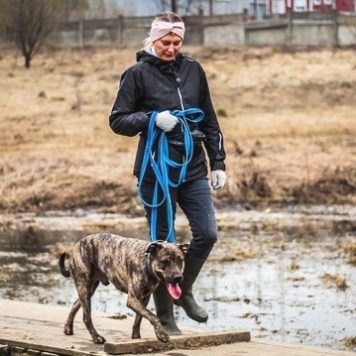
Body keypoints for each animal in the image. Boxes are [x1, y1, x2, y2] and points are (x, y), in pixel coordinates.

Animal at [58, 234, 189, 344]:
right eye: (164, 261)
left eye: (180, 260)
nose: (178, 277)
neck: (146, 261)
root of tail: (76, 245)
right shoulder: (132, 299)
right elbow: (153, 316)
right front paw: (161, 334)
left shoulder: (144, 298)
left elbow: (139, 318)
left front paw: (136, 336)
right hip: (84, 286)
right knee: (86, 317)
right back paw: (96, 337)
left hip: (88, 289)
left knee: (75, 304)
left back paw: (68, 328)